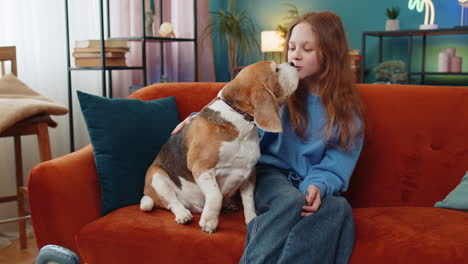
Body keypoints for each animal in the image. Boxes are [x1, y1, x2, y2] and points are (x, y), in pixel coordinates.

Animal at [141, 60, 298, 233]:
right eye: (276, 69)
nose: (292, 62)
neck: (239, 119)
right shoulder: (201, 167)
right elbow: (216, 196)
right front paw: (209, 222)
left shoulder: (249, 173)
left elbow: (249, 201)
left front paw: (251, 219)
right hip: (157, 176)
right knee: (172, 202)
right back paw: (183, 214)